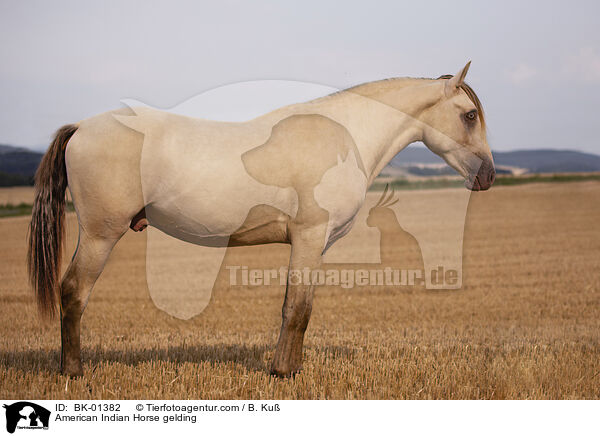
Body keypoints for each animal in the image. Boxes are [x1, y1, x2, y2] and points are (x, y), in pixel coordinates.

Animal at [28, 62, 494, 378]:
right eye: (469, 115)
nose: (488, 175)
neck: (345, 137)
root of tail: (81, 127)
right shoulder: (308, 237)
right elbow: (298, 309)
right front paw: (283, 372)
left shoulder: (314, 245)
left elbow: (299, 307)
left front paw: (289, 367)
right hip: (99, 236)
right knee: (73, 292)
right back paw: (73, 372)